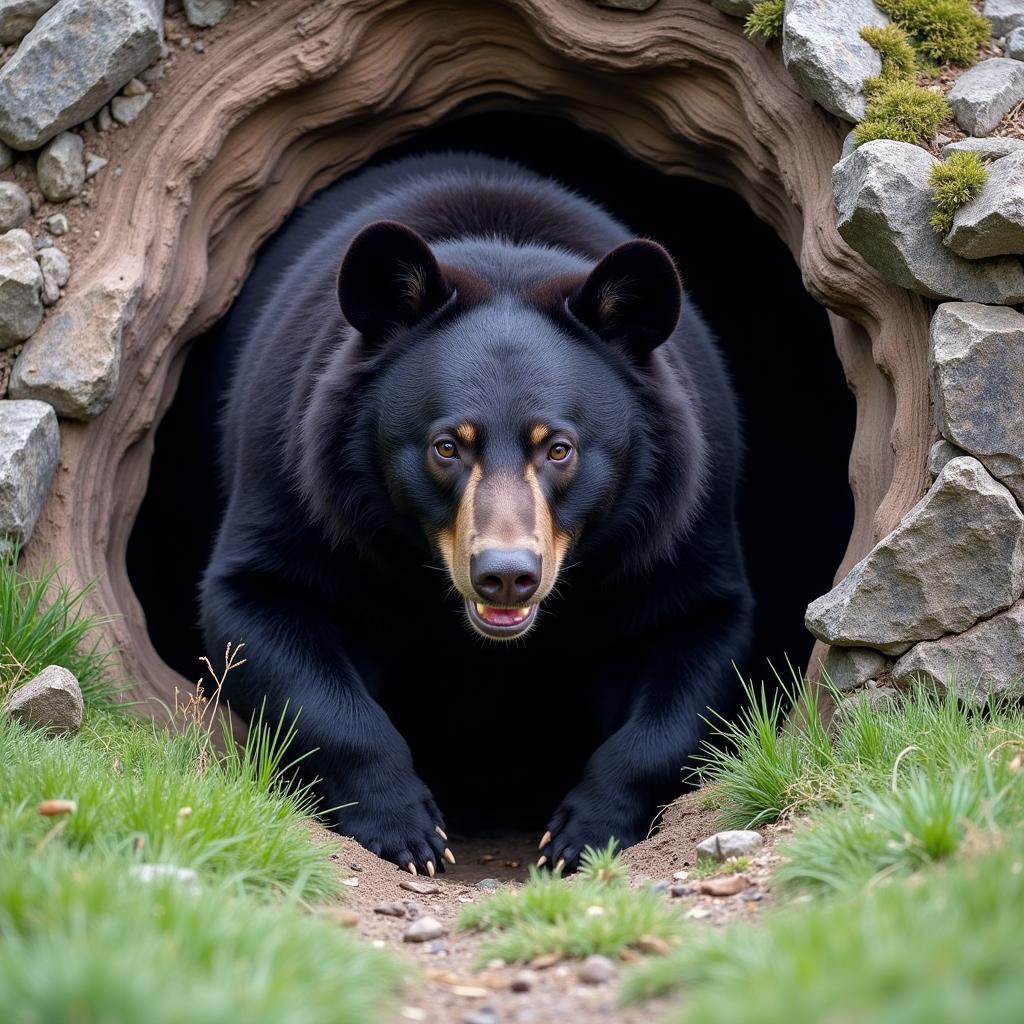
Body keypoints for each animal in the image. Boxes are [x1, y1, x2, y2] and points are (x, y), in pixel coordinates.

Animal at [201, 151, 753, 872]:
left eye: (558, 448)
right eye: (446, 447)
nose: (506, 576)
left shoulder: (682, 513)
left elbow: (696, 642)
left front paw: (579, 835)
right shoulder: (292, 475)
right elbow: (264, 614)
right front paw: (409, 830)